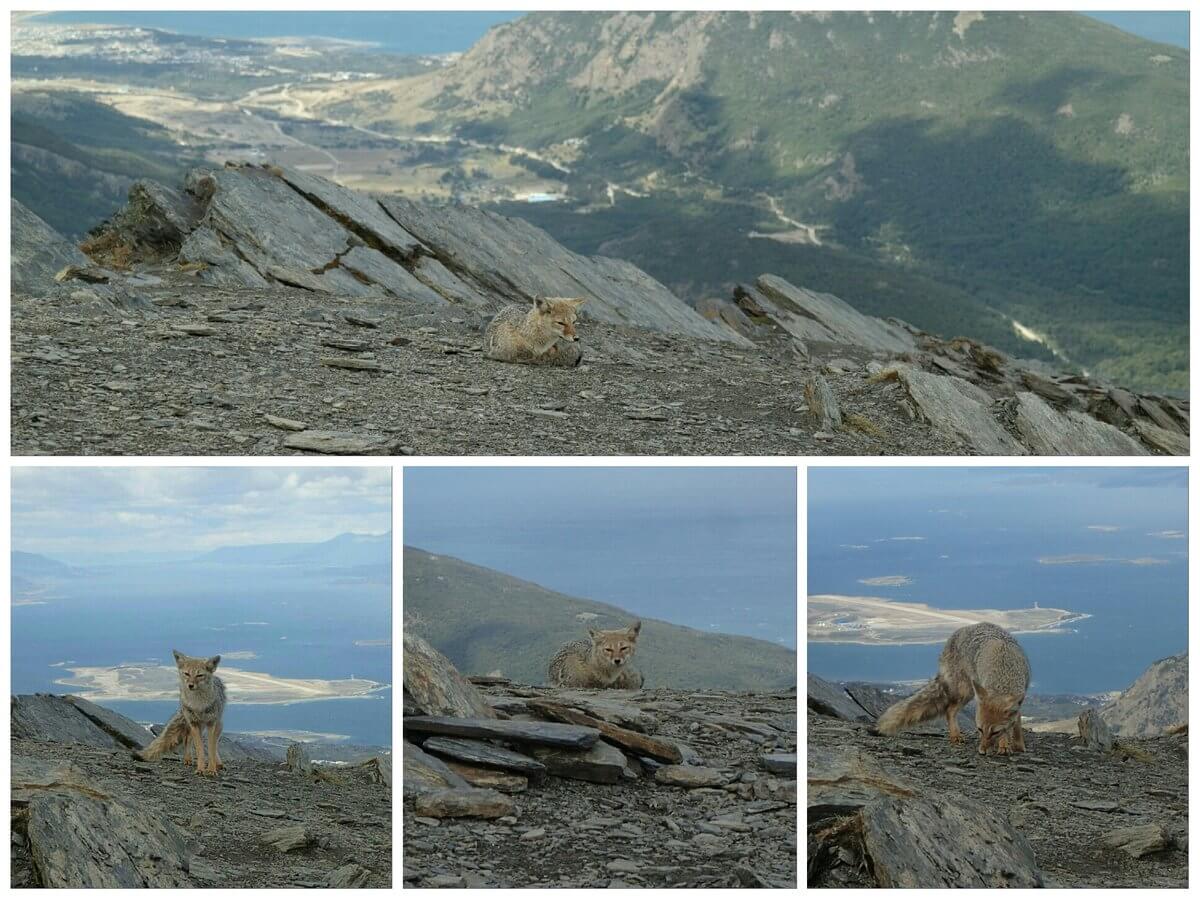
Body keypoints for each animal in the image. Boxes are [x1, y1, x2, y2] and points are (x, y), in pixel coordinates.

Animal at [873, 624, 1032, 758]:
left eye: (995, 732)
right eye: (979, 729)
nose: (982, 752)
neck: (1005, 673)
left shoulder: (1020, 699)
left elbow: (1015, 723)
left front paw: (1015, 744)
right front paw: (1005, 745)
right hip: (966, 691)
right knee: (949, 710)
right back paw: (955, 736)